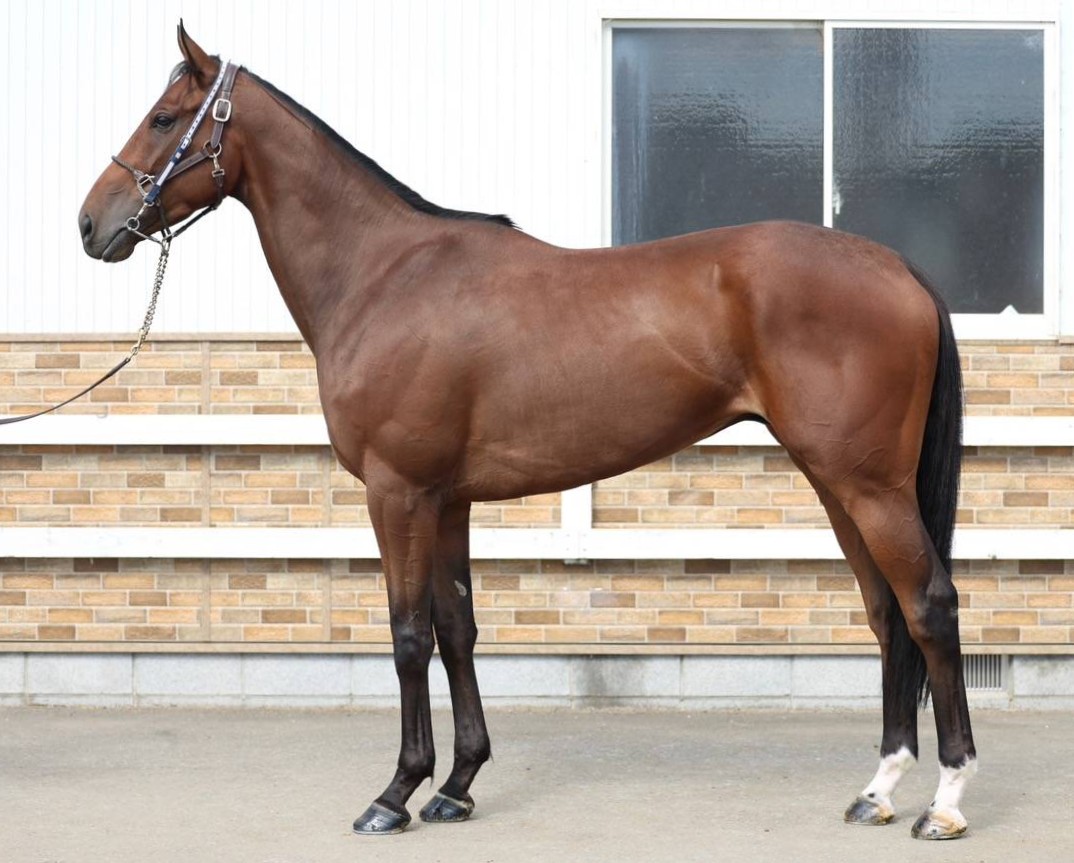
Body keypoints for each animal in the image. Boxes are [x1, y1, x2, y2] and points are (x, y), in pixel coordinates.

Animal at [78, 24, 976, 840]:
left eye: (164, 117)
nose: (91, 224)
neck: (384, 275)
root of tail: (897, 265)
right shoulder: (447, 500)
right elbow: (458, 628)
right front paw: (456, 785)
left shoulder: (398, 493)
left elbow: (408, 635)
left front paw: (395, 793)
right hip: (837, 482)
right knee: (886, 612)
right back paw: (879, 788)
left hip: (868, 485)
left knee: (929, 605)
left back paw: (945, 801)